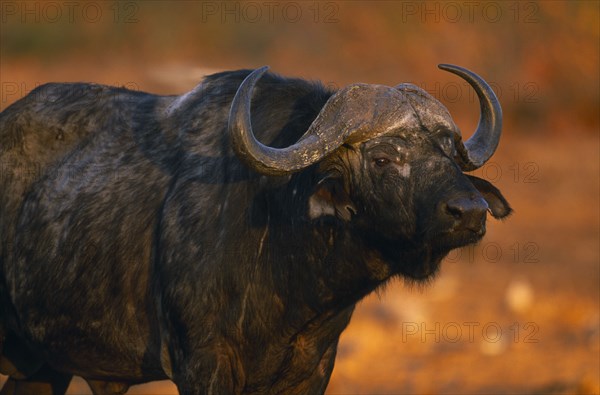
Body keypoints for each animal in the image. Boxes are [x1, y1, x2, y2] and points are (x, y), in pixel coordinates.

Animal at [1, 64, 510, 392]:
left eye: (449, 152)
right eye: (383, 158)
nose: (470, 210)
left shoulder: (313, 367)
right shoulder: (203, 363)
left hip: (42, 369)